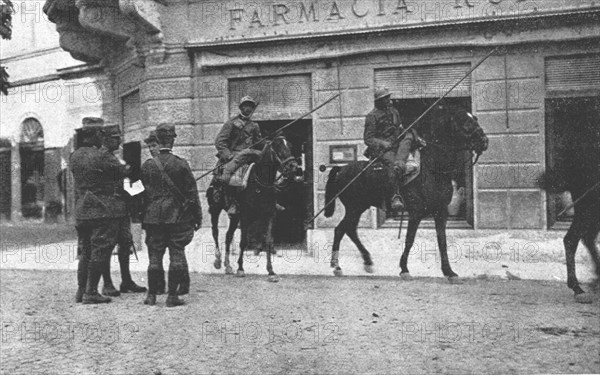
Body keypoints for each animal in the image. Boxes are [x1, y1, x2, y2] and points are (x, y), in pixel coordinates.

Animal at [207, 136, 298, 282]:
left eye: (290, 146)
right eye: (278, 148)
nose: (294, 167)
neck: (260, 185)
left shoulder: (269, 215)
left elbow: (268, 241)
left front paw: (271, 272)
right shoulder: (245, 216)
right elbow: (243, 241)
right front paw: (240, 269)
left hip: (234, 217)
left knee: (228, 236)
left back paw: (228, 266)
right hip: (215, 209)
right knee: (215, 232)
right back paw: (218, 260)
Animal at [324, 103, 488, 282]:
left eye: (475, 118)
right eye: (464, 122)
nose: (484, 141)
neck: (432, 170)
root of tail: (341, 169)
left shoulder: (441, 212)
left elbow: (442, 241)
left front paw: (449, 272)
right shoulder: (416, 213)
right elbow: (410, 239)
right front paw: (404, 269)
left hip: (359, 208)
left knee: (349, 230)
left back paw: (365, 261)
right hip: (354, 208)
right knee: (341, 229)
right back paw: (337, 266)